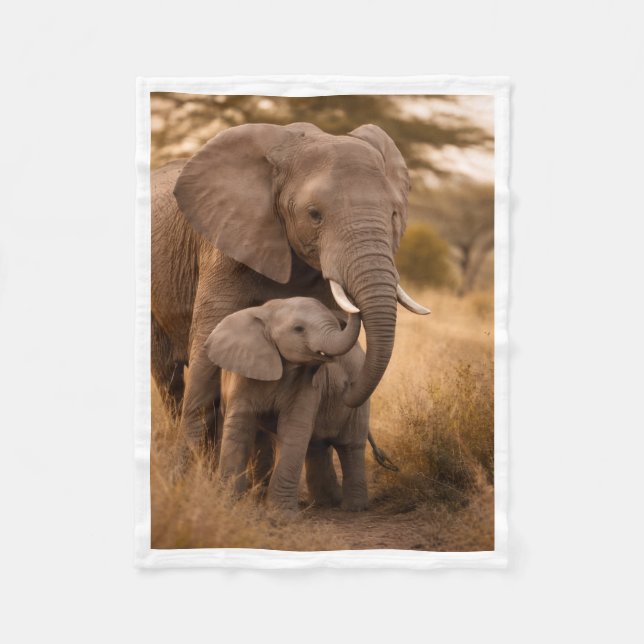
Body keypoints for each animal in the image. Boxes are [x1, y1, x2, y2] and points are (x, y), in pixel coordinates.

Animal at [151, 121, 430, 450]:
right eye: (314, 214)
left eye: (394, 215)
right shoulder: (224, 246)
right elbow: (210, 337)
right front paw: (198, 461)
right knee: (167, 374)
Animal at [205, 297, 374, 512]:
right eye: (298, 329)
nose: (345, 386)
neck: (269, 311)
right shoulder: (243, 371)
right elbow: (238, 427)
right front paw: (228, 505)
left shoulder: (307, 381)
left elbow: (294, 427)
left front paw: (281, 514)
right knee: (317, 445)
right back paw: (325, 502)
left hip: (357, 402)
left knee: (350, 446)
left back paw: (353, 508)